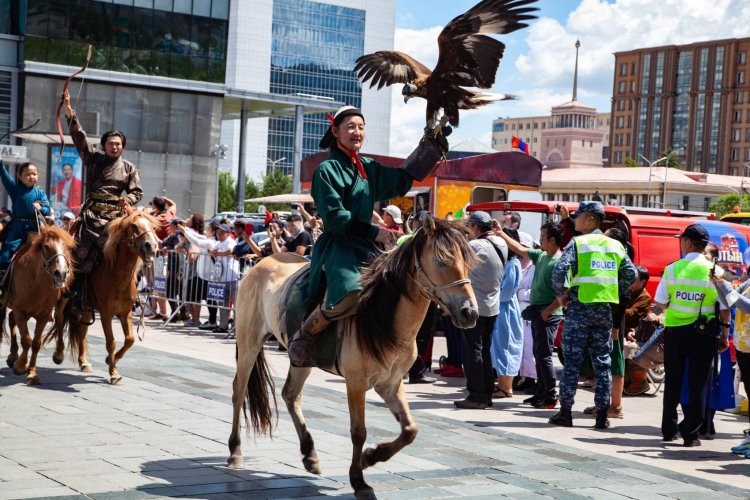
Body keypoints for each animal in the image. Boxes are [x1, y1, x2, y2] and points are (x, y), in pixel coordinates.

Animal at [2, 225, 75, 384]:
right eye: (47, 247)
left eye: (69, 247)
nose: (61, 274)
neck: (37, 281)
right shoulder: (20, 311)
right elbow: (27, 340)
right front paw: (20, 367)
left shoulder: (43, 315)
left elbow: (35, 343)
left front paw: (32, 373)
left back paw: (13, 356)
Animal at [61, 210, 160, 382]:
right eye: (133, 226)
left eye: (153, 226)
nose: (152, 247)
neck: (118, 275)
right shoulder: (106, 313)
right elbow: (111, 342)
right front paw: (113, 373)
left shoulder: (125, 312)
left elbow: (130, 339)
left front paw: (111, 360)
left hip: (86, 308)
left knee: (82, 331)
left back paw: (84, 362)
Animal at [226, 217, 478, 498]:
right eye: (442, 261)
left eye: (468, 262)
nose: (469, 313)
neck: (384, 318)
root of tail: (261, 263)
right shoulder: (356, 382)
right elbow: (359, 431)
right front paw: (359, 480)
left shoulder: (390, 384)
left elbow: (410, 430)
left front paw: (372, 456)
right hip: (248, 342)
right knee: (239, 391)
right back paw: (235, 451)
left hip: (301, 360)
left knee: (290, 395)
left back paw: (310, 454)